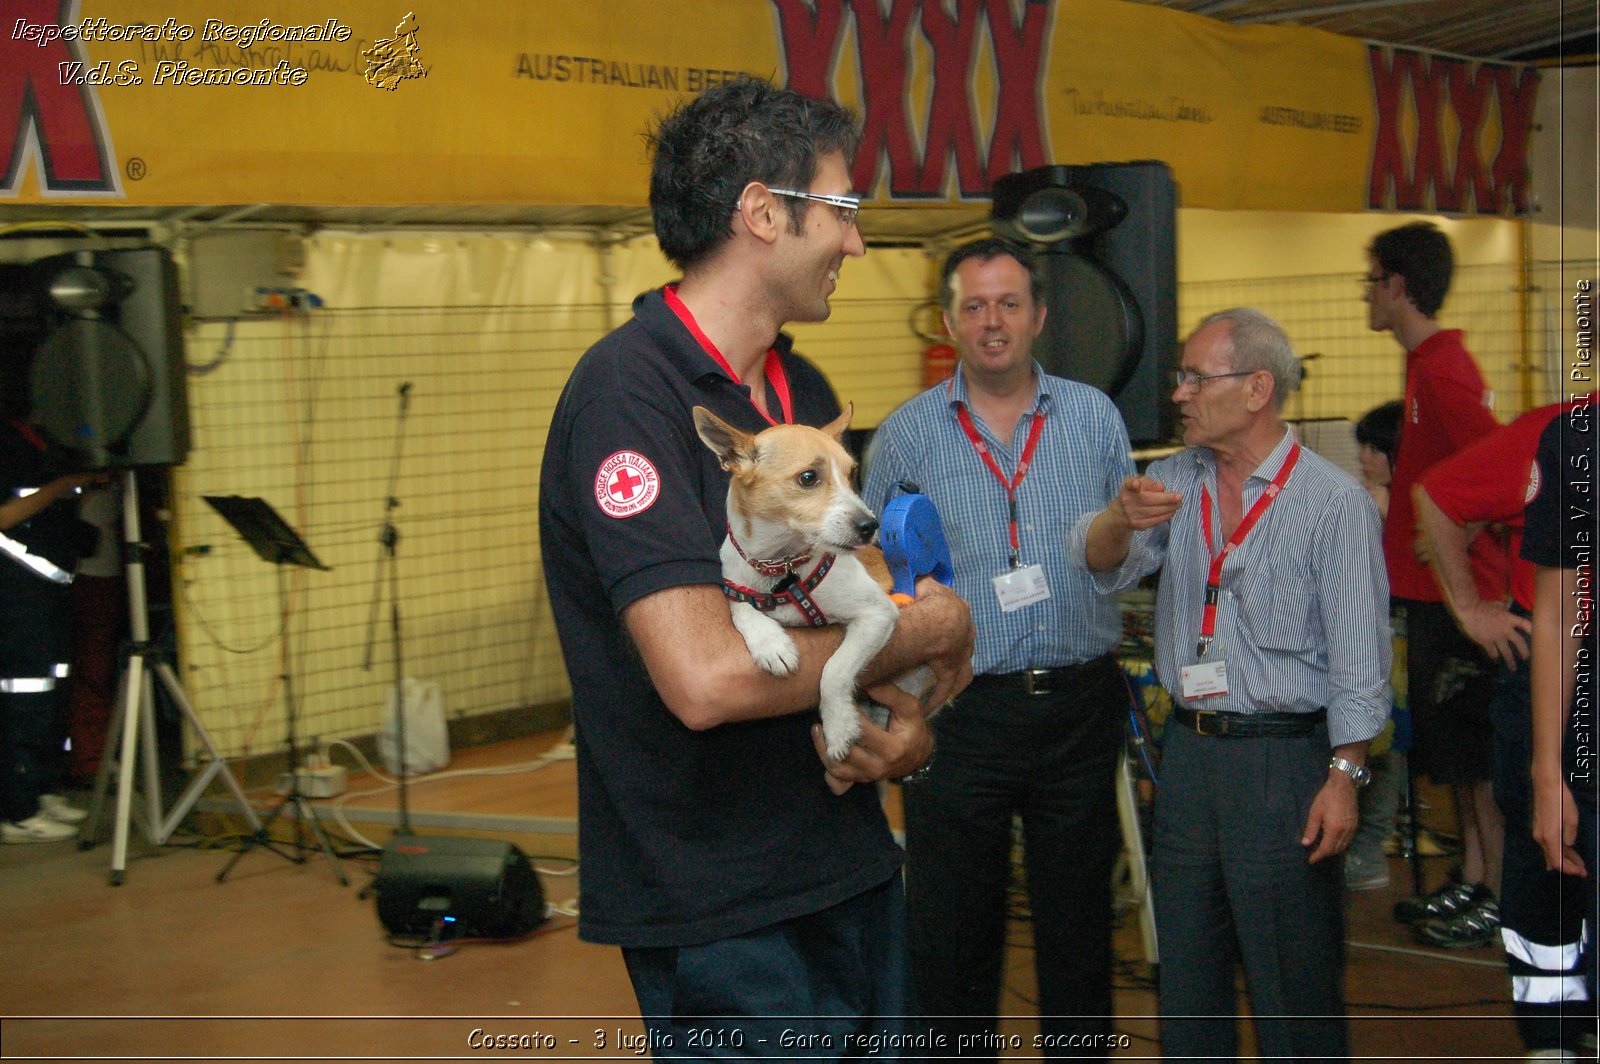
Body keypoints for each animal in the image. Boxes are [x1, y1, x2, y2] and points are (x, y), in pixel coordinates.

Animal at [691, 403, 934, 758]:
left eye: (851, 474)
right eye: (808, 478)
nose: (870, 526)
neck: (782, 566)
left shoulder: (879, 614)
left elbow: (834, 669)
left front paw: (838, 726)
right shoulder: (738, 586)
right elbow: (741, 607)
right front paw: (770, 642)